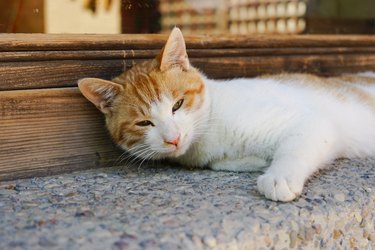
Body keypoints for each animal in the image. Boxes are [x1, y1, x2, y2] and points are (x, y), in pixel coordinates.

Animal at [78, 27, 375, 202]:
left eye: (178, 104)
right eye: (144, 122)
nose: (173, 139)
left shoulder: (311, 122)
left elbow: (295, 147)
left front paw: (279, 176)